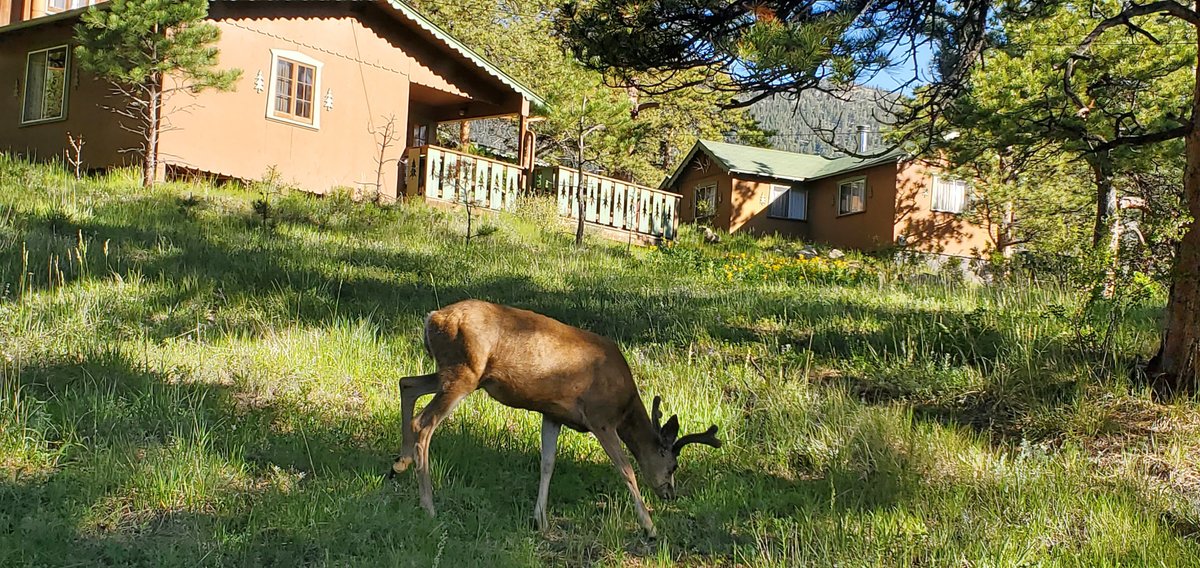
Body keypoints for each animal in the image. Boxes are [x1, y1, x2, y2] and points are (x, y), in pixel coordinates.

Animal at [391, 296, 720, 535]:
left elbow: (547, 463)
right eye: (673, 465)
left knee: (407, 383)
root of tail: (432, 318)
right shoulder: (600, 417)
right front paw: (650, 527)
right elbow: (626, 469)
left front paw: (541, 521)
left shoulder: (553, 414)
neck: (624, 404)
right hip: (464, 372)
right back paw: (428, 505)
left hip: (453, 372)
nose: (670, 494)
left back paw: (400, 463)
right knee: (423, 423)